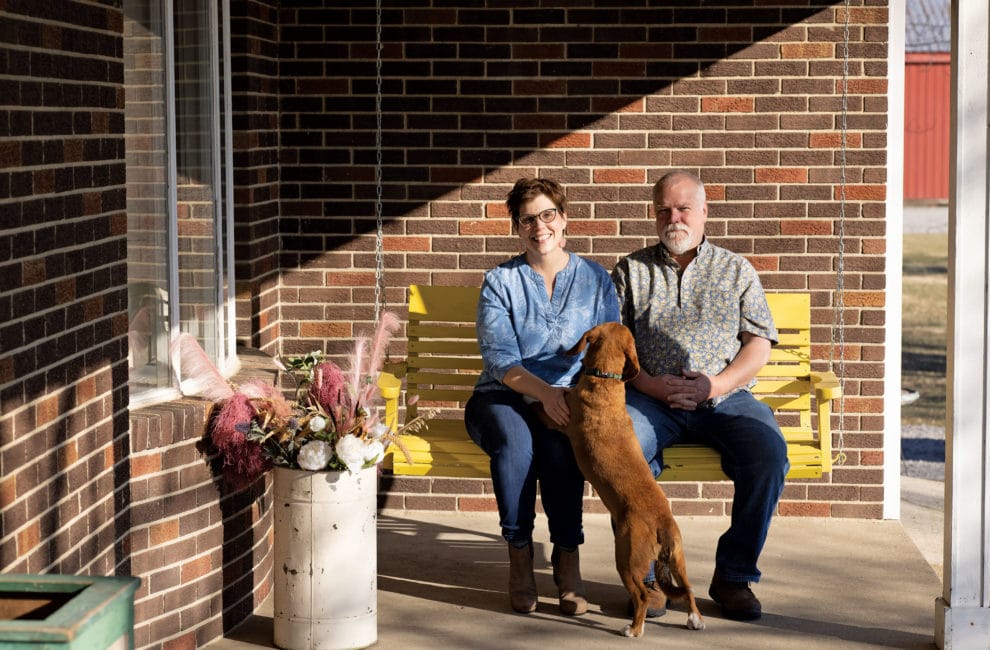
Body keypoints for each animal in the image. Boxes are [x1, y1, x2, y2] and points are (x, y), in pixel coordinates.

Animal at [548, 322, 700, 636]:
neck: (605, 380)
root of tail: (662, 522)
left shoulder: (557, 419)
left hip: (626, 559)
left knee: (641, 595)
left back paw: (633, 629)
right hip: (678, 561)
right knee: (689, 589)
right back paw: (695, 620)